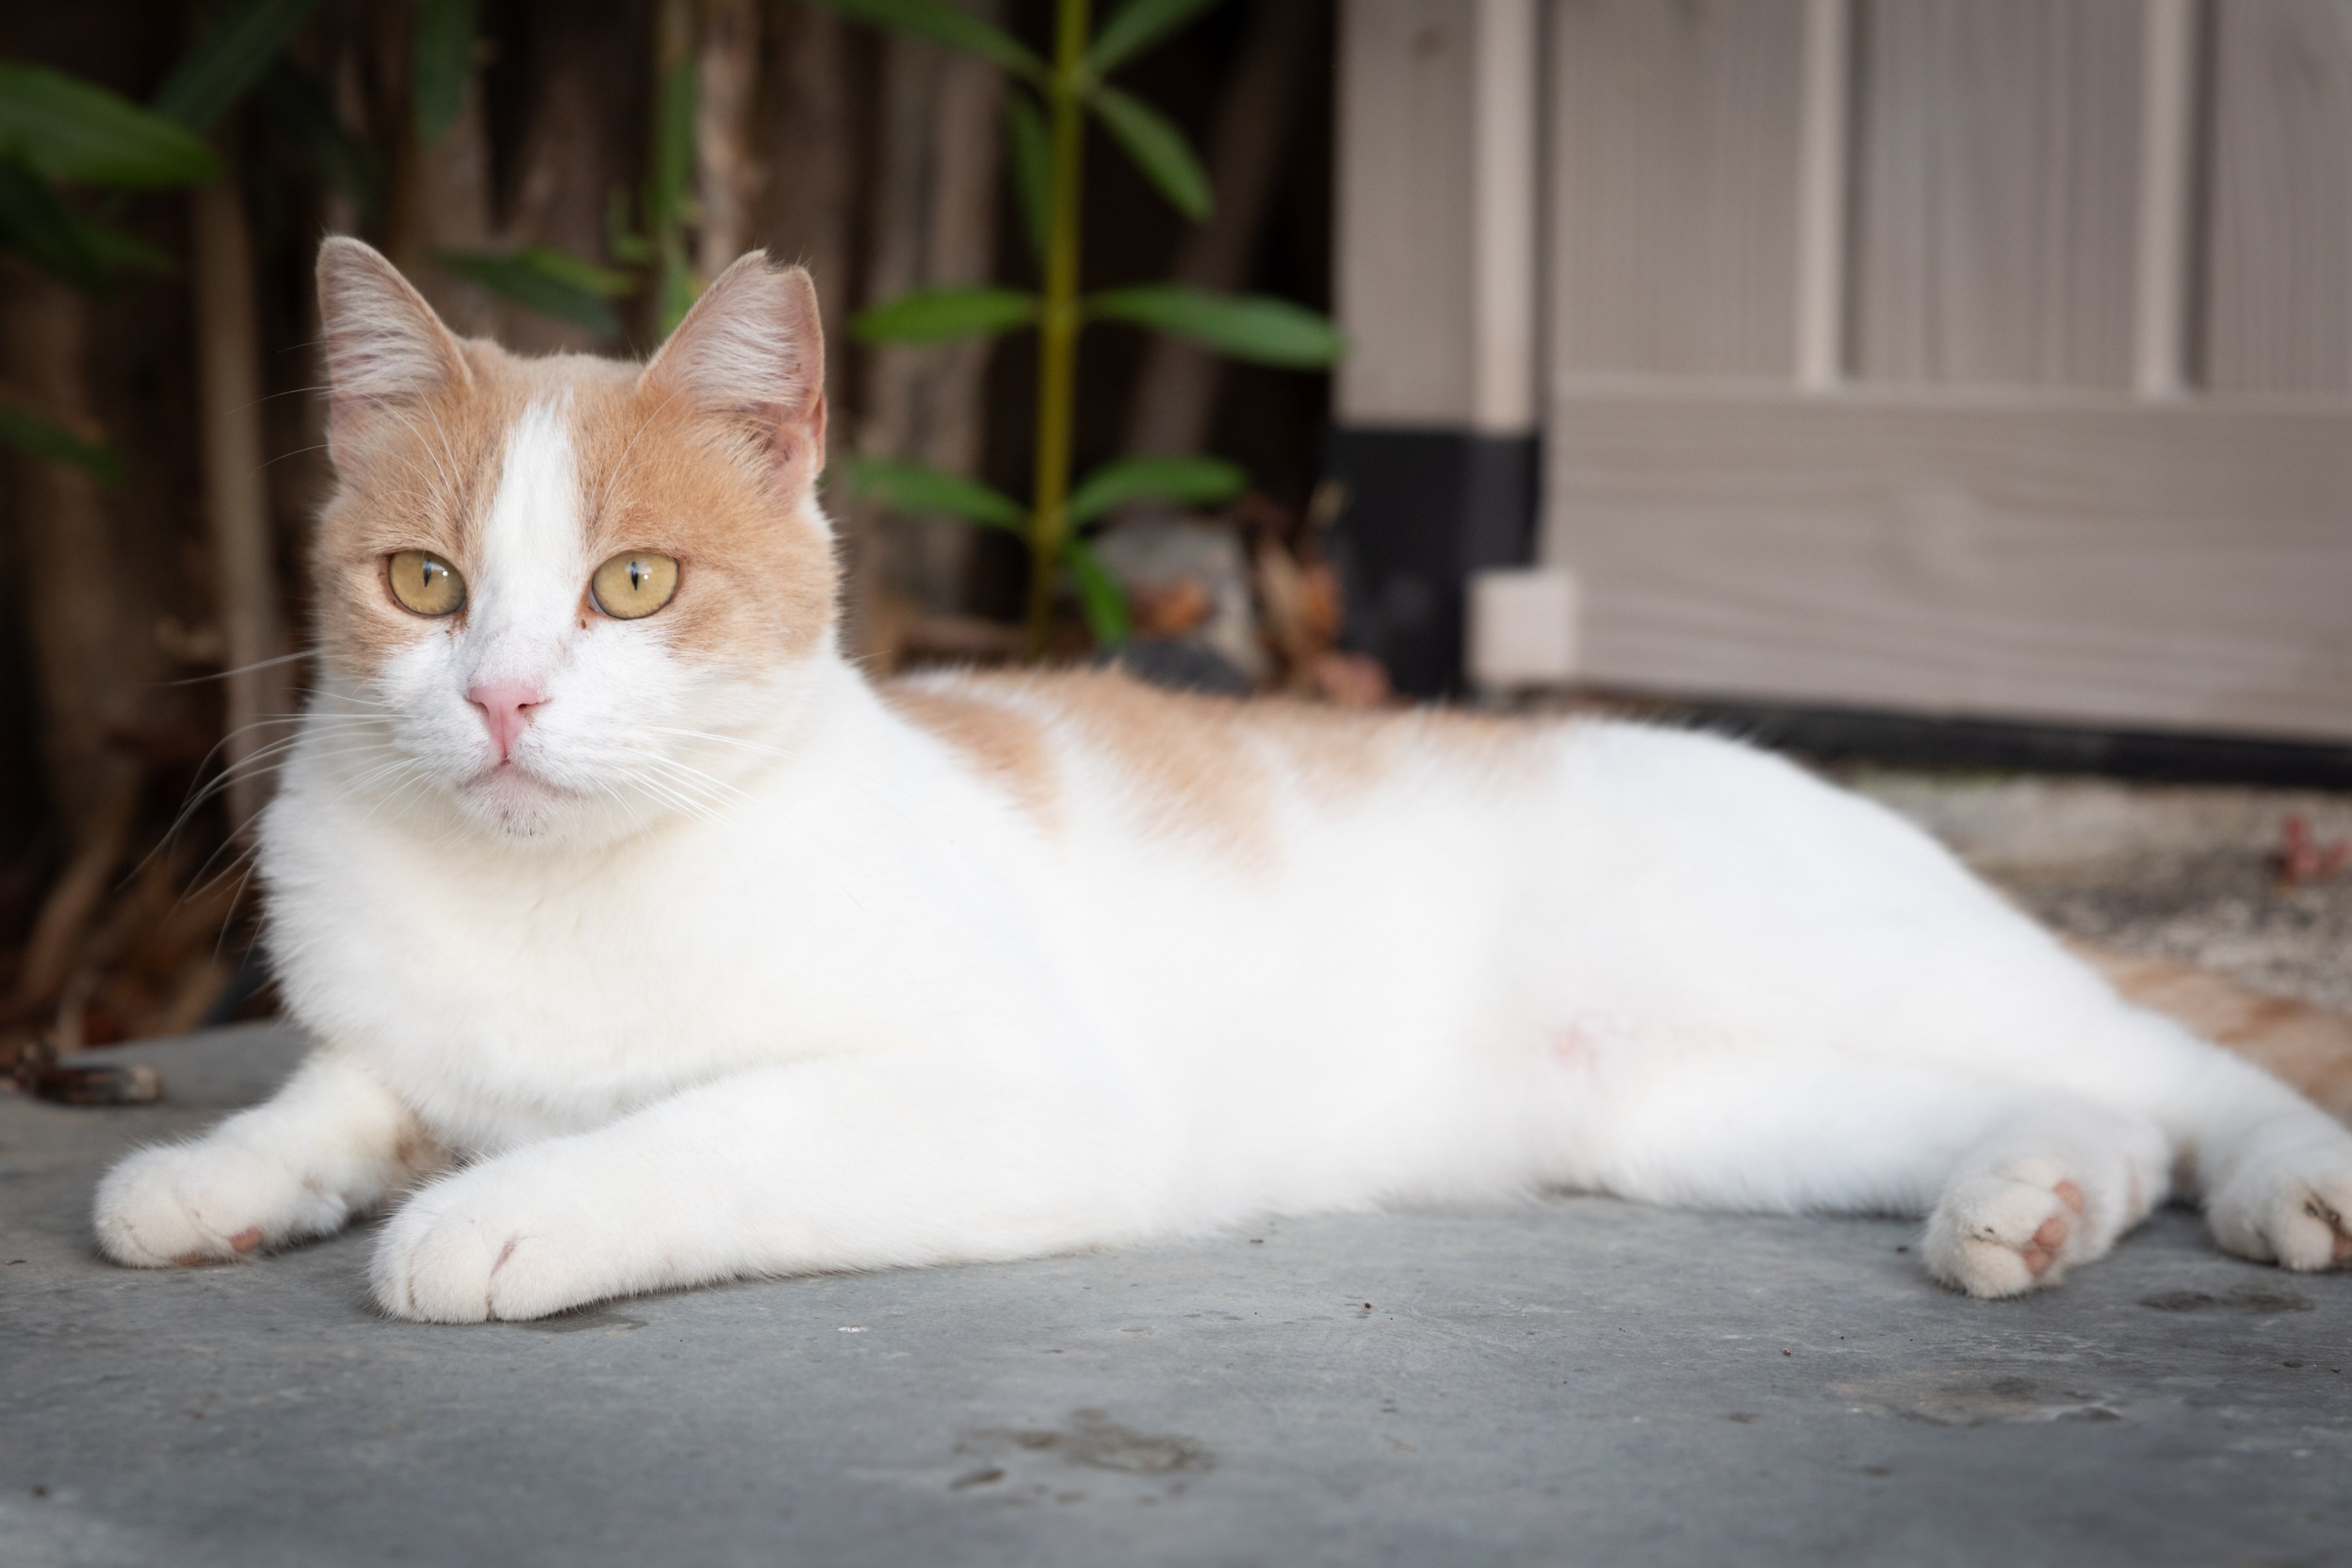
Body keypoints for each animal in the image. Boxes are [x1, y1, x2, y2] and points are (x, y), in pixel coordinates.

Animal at [91, 242, 2352, 1326]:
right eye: (425, 583)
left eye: (632, 585)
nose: (498, 701)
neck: (560, 891)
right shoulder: (404, 1033)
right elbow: (347, 1091)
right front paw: (213, 1175)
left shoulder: (1018, 1095)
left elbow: (701, 1130)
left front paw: (500, 1211)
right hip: (1700, 1115)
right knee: (2076, 1104)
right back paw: (2034, 1201)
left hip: (1840, 969)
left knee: (2168, 1062)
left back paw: (2275, 1179)